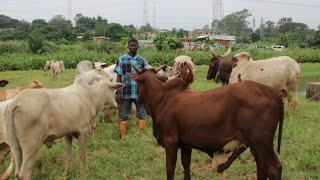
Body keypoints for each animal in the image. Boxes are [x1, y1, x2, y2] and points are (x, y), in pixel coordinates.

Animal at [127, 65, 282, 180]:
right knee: (262, 168)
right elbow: (186, 166)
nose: (137, 98)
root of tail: (271, 91)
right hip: (256, 146)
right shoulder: (185, 144)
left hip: (262, 143)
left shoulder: (170, 142)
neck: (162, 98)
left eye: (138, 83)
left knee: (274, 168)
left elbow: (170, 170)